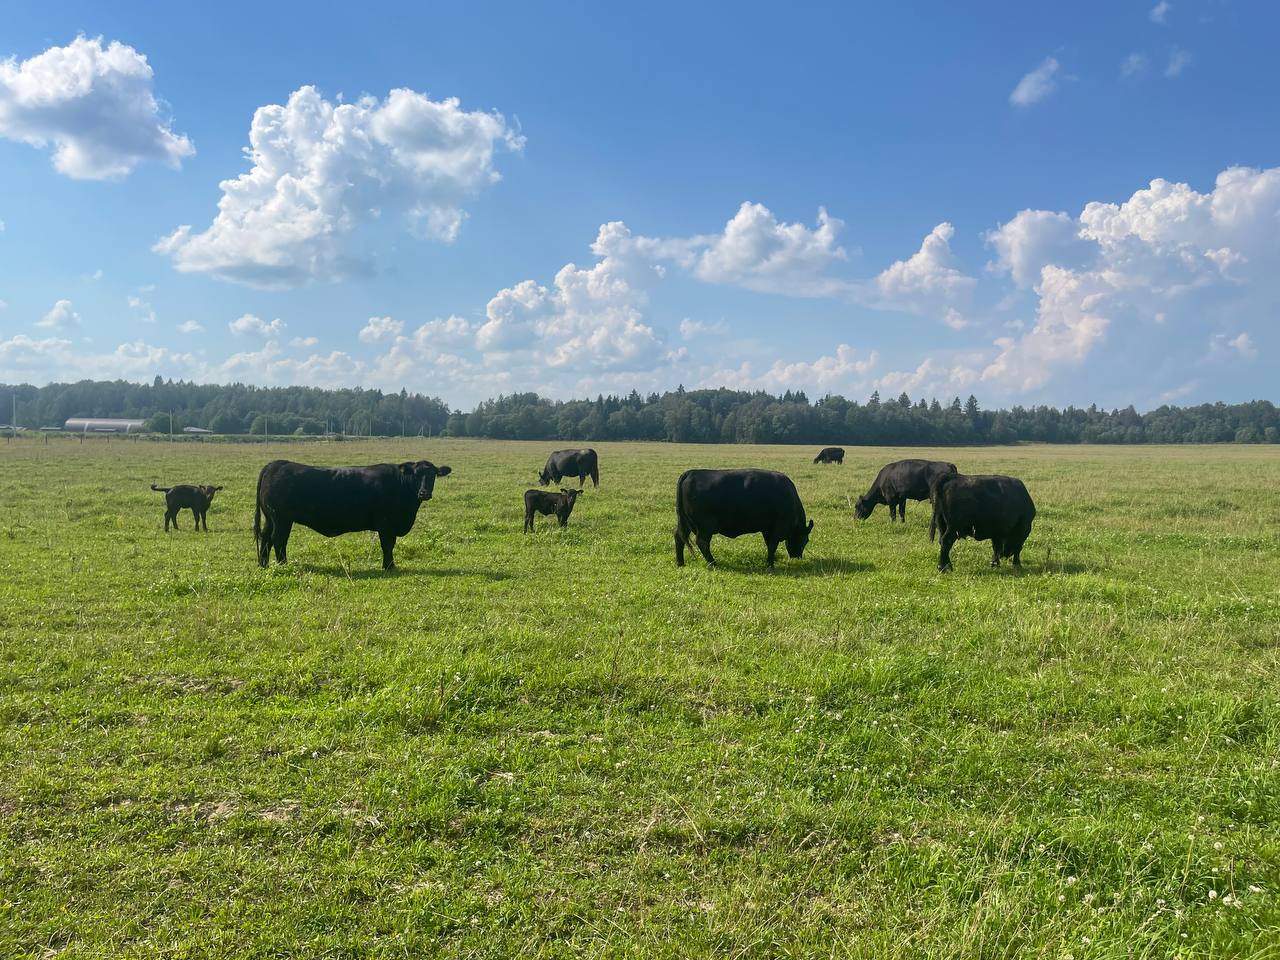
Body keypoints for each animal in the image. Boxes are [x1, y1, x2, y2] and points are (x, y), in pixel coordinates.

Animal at [253, 460, 450, 570]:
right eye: (416, 474)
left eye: (433, 475)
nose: (424, 493)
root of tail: (276, 464)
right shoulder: (386, 524)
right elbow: (387, 545)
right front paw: (389, 566)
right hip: (282, 519)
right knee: (278, 539)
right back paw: (283, 564)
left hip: (271, 519)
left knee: (266, 538)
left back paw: (264, 565)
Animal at [675, 471, 814, 568]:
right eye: (805, 540)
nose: (797, 556)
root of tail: (691, 473)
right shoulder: (777, 528)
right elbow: (772, 546)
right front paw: (770, 565)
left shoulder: (767, 529)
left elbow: (769, 545)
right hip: (705, 527)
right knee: (702, 542)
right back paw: (713, 563)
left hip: (685, 523)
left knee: (679, 538)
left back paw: (680, 563)